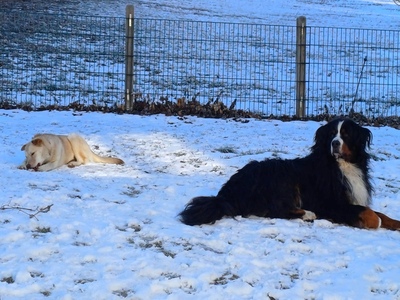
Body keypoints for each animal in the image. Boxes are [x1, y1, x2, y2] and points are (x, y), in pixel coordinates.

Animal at [180, 117, 400, 230]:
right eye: (331, 134)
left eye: (345, 135)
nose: (335, 144)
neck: (341, 165)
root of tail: (225, 193)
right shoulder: (330, 203)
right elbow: (370, 214)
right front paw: (373, 222)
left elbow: (379, 213)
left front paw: (395, 223)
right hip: (281, 179)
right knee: (275, 210)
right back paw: (308, 214)